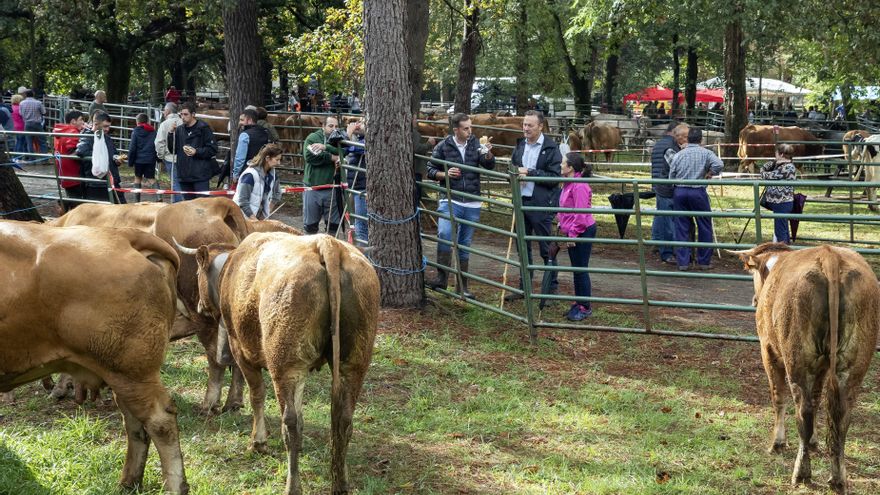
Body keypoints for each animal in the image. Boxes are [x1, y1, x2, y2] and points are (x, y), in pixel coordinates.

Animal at [0, 222, 189, 495]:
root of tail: (123, 235)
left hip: (132, 371)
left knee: (159, 422)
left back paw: (174, 486)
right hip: (122, 376)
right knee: (135, 425)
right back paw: (128, 483)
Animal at [182, 234, 378, 495]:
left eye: (198, 273)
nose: (200, 306)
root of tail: (327, 243)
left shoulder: (241, 350)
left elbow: (257, 395)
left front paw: (258, 441)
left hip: (285, 365)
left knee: (290, 424)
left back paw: (292, 485)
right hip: (352, 364)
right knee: (343, 421)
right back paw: (340, 484)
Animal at [736, 244, 880, 495]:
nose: (754, 299)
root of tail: (830, 255)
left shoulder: (768, 350)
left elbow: (778, 396)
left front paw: (778, 442)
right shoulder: (822, 368)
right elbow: (817, 397)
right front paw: (813, 441)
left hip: (797, 361)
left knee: (803, 410)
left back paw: (801, 473)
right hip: (854, 364)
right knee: (841, 414)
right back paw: (838, 479)